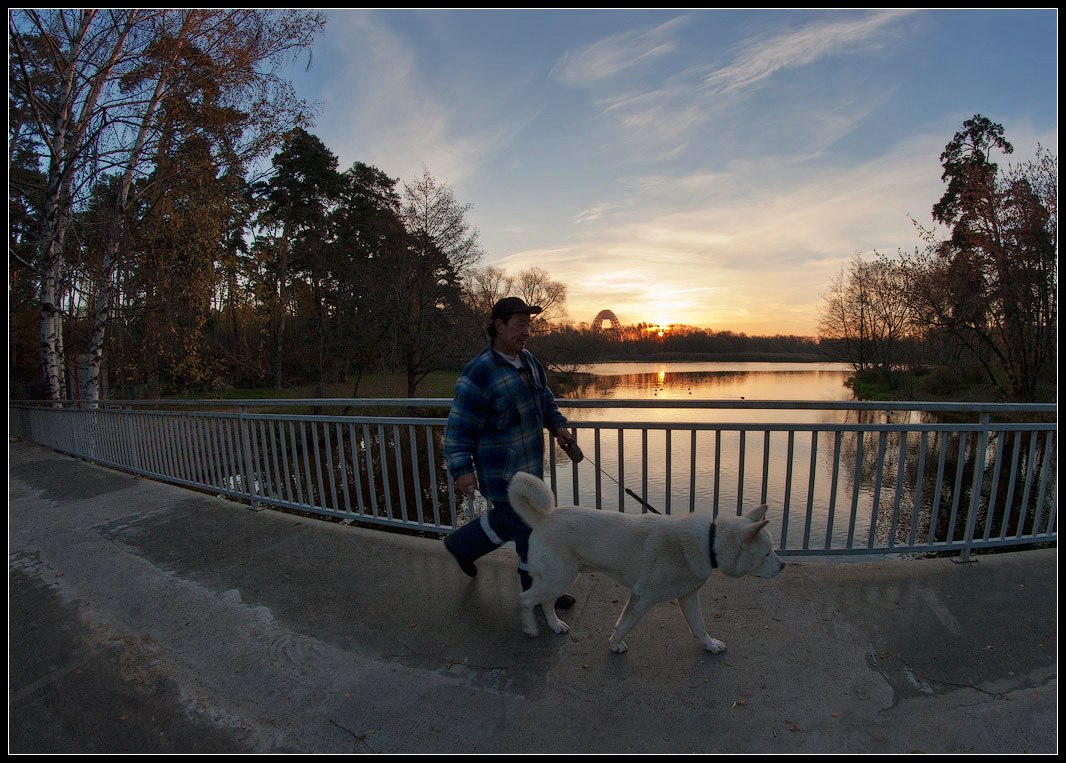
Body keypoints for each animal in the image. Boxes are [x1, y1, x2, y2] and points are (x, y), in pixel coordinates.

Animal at [507, 471, 784, 656]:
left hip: (562, 578)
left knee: (545, 602)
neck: (708, 544)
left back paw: (555, 625)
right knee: (526, 599)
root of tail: (544, 517)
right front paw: (614, 644)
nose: (782, 566)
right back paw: (530, 628)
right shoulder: (642, 598)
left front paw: (710, 645)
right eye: (767, 554)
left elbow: (699, 626)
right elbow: (626, 625)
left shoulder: (687, 597)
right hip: (558, 578)